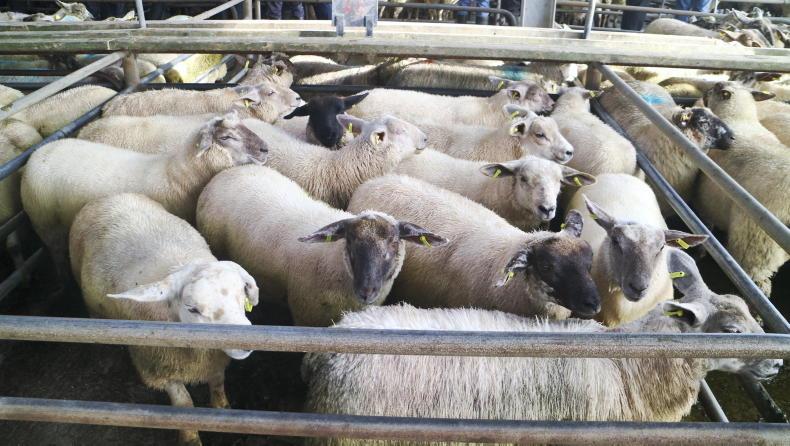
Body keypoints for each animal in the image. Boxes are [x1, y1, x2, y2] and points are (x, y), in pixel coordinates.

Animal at [69, 193, 258, 446]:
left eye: (242, 293)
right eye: (192, 308)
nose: (246, 342)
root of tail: (109, 196)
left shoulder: (215, 360)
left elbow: (218, 382)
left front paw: (222, 410)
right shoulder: (160, 368)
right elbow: (184, 404)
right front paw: (190, 438)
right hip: (92, 304)